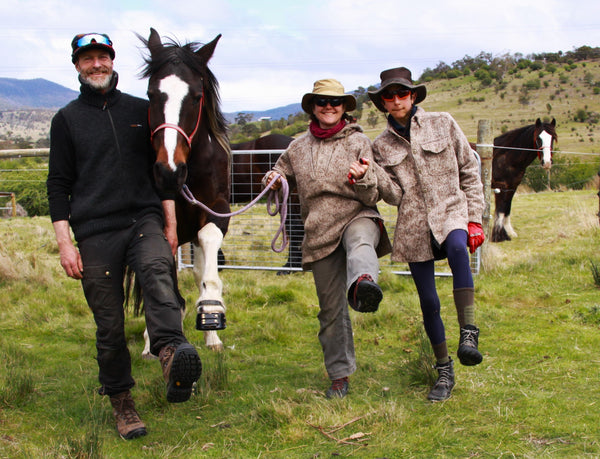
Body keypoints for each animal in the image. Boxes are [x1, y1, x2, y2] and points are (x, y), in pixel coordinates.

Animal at [139, 27, 231, 352]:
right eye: (151, 94)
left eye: (196, 96)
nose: (169, 171)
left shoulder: (218, 209)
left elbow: (209, 253)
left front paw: (211, 312)